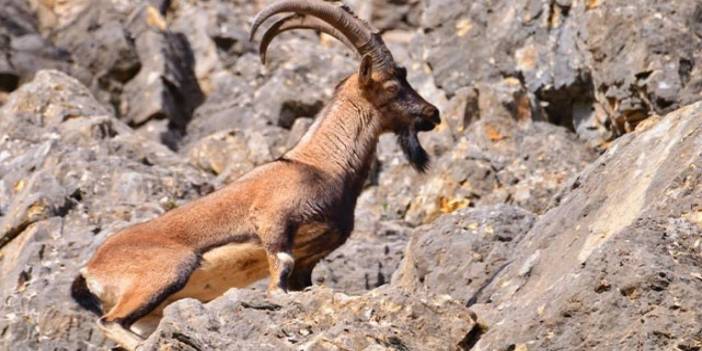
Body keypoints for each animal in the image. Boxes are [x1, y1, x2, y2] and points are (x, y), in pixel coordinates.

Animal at [70, 1, 440, 350]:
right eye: (392, 85)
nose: (432, 114)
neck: (321, 165)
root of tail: (89, 270)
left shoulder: (308, 261)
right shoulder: (272, 221)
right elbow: (279, 278)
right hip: (166, 273)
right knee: (110, 321)